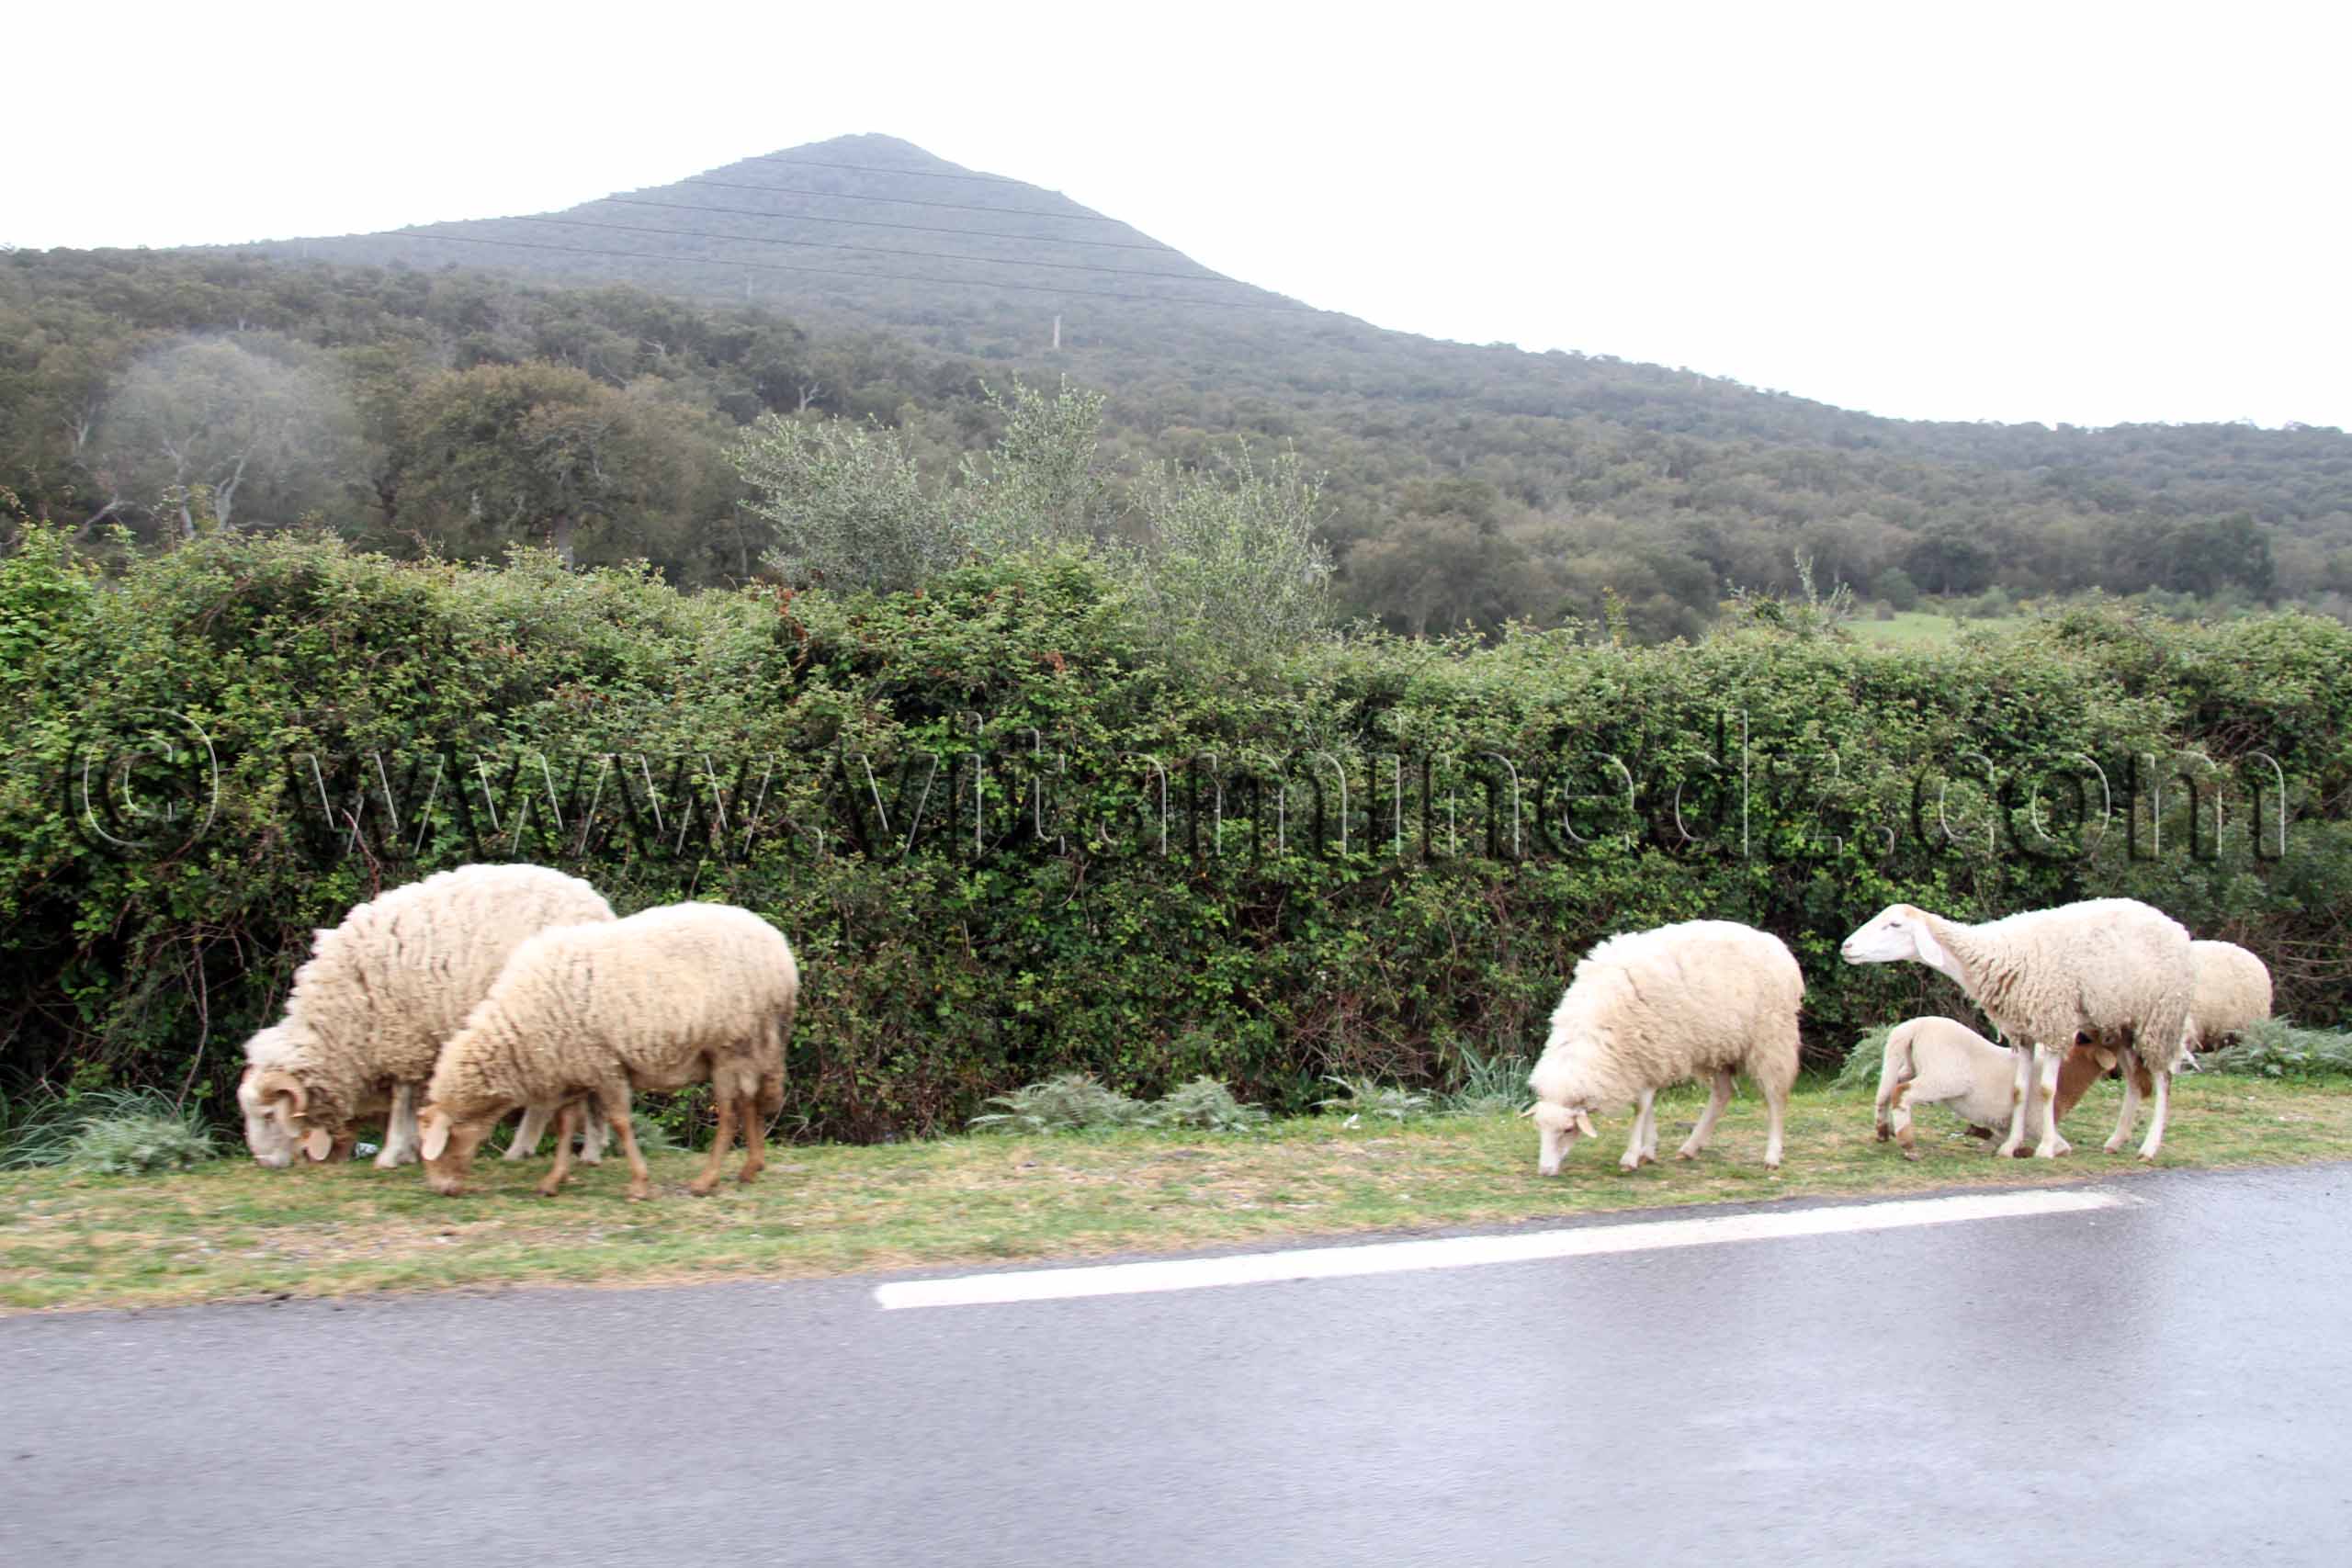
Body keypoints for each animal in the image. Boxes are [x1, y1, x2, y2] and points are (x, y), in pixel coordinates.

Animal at [235, 863, 618, 1169]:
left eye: (269, 1114)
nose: (264, 1162)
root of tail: (598, 907)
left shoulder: (403, 1038)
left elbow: (401, 1101)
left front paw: (393, 1153)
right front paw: (413, 1149)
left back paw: (585, 1150)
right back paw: (527, 1150)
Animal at [415, 901, 799, 1201]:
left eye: (445, 1142)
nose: (441, 1190)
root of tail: (780, 953)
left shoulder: (605, 1066)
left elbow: (620, 1122)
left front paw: (640, 1184)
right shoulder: (575, 1068)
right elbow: (566, 1125)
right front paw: (553, 1180)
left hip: (729, 1045)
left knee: (730, 1112)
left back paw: (706, 1181)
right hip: (748, 1048)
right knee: (750, 1101)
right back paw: (750, 1168)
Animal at [1526, 920, 1803, 1177]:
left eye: (1568, 1130)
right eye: (1539, 1128)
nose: (1545, 1171)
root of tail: (1776, 945)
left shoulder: (1651, 1050)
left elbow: (1641, 1106)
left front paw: (1631, 1157)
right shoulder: (1641, 1058)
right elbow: (1646, 1106)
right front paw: (1647, 1150)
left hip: (1772, 1037)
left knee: (1775, 1096)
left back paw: (1772, 1155)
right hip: (1719, 1046)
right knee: (1723, 1093)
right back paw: (1690, 1147)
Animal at [1872, 1016, 2057, 1158]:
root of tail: (1915, 1026)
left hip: (1911, 1066)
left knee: (1886, 1091)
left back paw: (1884, 1132)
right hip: (1943, 1078)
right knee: (1901, 1092)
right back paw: (1908, 1145)